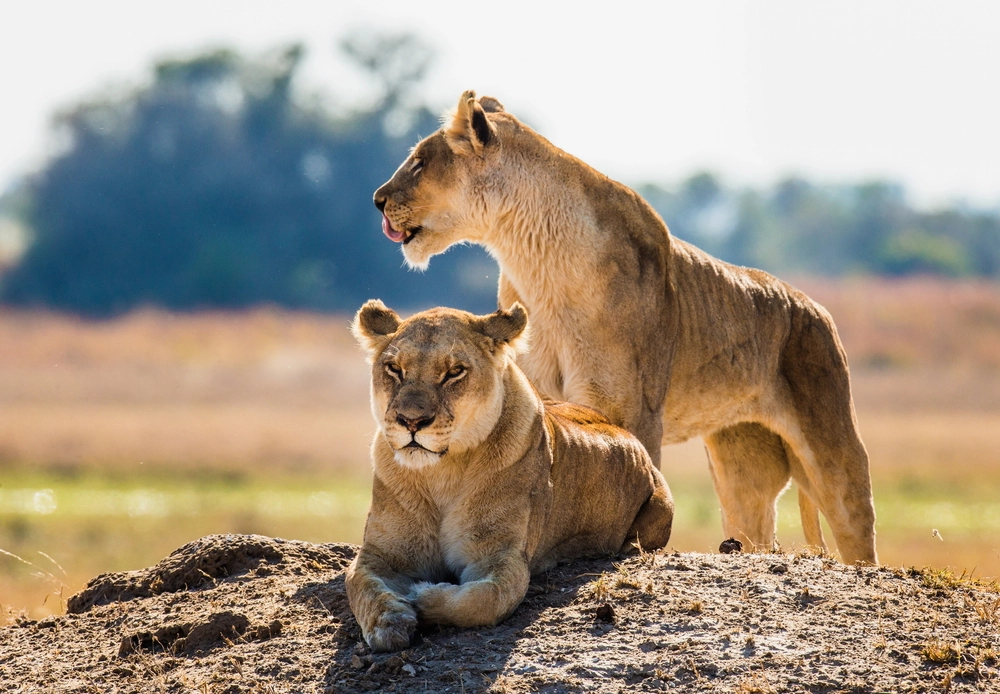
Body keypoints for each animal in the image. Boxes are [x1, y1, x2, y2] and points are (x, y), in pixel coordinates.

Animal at [345, 300, 674, 652]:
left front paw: (424, 596)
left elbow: (482, 599)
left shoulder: (503, 556)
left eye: (454, 372)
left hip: (659, 509)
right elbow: (361, 588)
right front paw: (388, 622)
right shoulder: (382, 553)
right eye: (394, 368)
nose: (410, 421)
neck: (441, 473)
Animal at [371, 90, 877, 566]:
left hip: (832, 445)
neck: (534, 259)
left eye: (419, 162)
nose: (377, 200)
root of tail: (812, 305)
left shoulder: (633, 410)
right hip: (742, 470)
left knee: (856, 529)